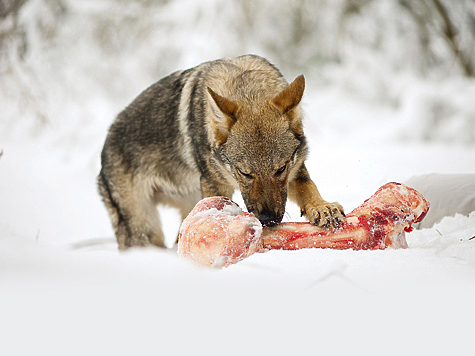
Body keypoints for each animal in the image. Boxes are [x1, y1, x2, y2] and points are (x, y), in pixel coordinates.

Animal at [98, 55, 346, 250]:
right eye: (245, 173)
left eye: (280, 169)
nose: (268, 220)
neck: (248, 91)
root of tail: (104, 148)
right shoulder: (216, 185)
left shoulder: (295, 170)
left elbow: (308, 187)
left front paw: (322, 208)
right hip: (143, 227)